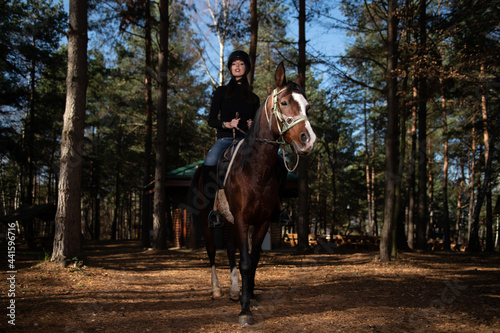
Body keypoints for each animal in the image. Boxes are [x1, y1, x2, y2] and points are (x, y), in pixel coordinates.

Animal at [188, 62, 316, 324]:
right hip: (209, 220)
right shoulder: (242, 219)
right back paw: (217, 290)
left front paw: (250, 296)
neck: (255, 169)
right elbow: (245, 261)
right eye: (284, 102)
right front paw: (245, 310)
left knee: (229, 248)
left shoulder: (262, 221)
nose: (308, 140)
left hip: (229, 221)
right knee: (212, 251)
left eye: (307, 106)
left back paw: (235, 290)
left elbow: (254, 260)